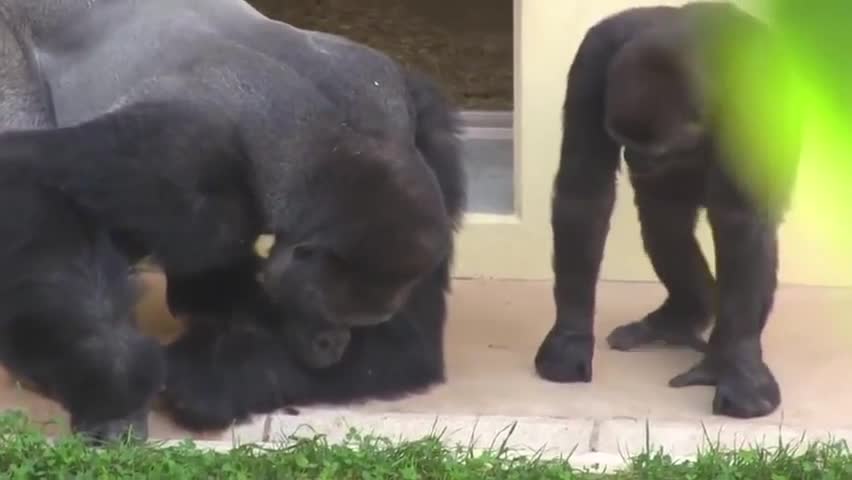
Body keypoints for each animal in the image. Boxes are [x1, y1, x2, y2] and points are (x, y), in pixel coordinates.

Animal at [0, 0, 466, 442]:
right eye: (326, 314)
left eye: (357, 323)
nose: (334, 347)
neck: (332, 139)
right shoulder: (181, 147)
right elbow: (31, 179)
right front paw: (116, 389)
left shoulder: (417, 128)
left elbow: (404, 345)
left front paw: (212, 378)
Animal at [536, 1, 804, 418]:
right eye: (622, 139)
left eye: (658, 151)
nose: (634, 159)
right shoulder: (592, 60)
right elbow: (584, 191)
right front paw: (570, 338)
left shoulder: (753, 92)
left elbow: (741, 221)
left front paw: (740, 368)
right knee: (665, 223)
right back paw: (681, 317)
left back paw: (718, 353)